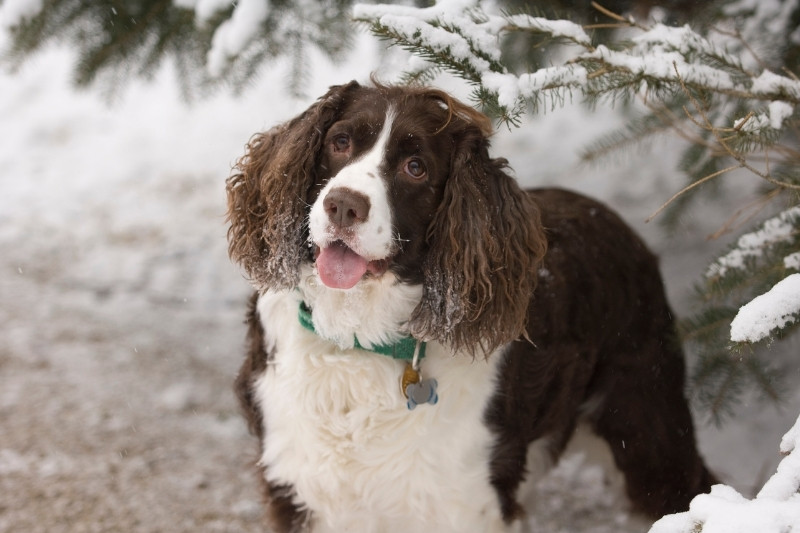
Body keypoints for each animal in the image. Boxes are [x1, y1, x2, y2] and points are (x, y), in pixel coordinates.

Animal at [223, 80, 712, 532]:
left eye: (416, 167)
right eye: (340, 142)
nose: (343, 206)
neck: (359, 339)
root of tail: (614, 220)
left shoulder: (467, 499)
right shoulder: (296, 485)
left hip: (646, 423)